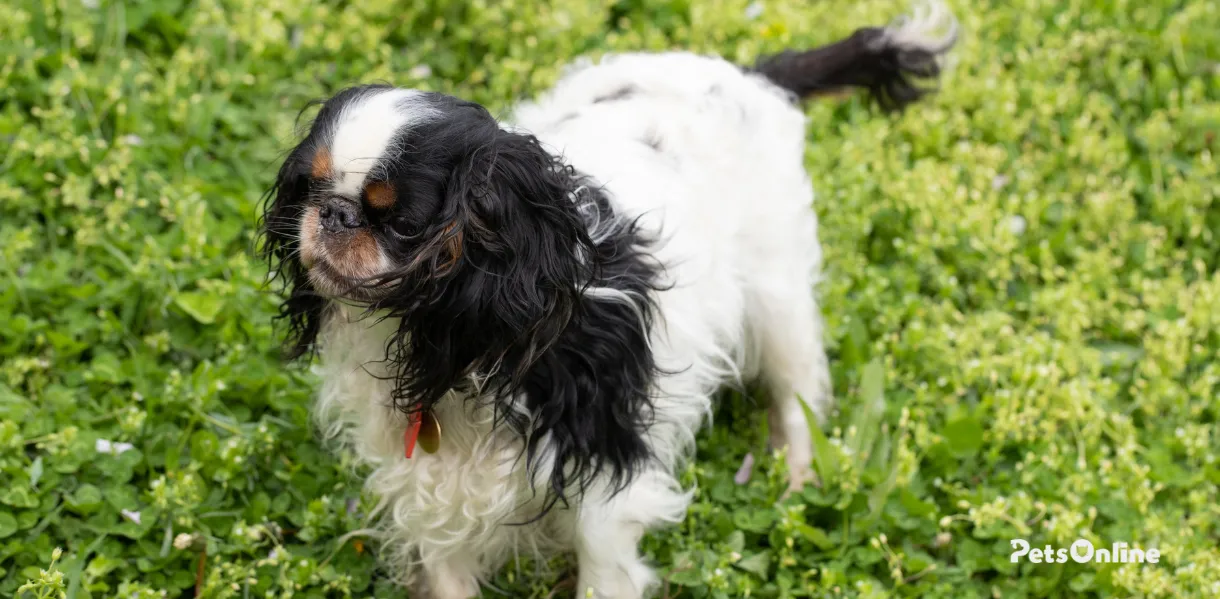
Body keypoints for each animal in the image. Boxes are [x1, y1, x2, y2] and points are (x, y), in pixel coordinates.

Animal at [262, 3, 956, 595]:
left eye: (400, 222)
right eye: (308, 188)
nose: (333, 215)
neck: (467, 344)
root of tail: (747, 75)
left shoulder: (604, 463)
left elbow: (603, 569)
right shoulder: (428, 483)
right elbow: (447, 565)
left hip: (775, 289)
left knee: (798, 388)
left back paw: (797, 477)